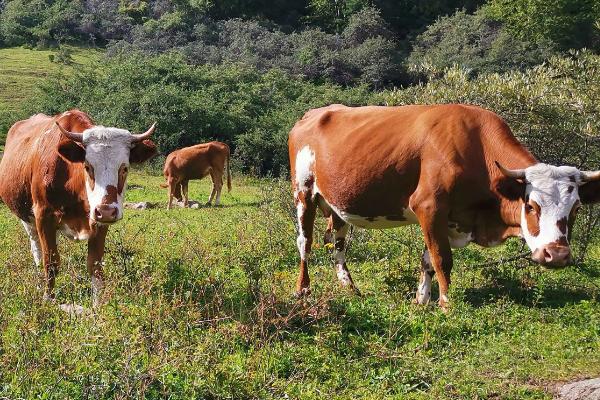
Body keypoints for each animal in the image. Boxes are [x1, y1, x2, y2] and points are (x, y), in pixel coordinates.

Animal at [0, 109, 157, 306]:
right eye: (88, 166)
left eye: (125, 168)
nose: (106, 211)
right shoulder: (43, 215)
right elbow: (51, 262)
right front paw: (48, 299)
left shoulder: (98, 221)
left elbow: (95, 265)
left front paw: (98, 305)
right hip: (26, 217)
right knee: (36, 249)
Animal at [290, 103, 600, 310]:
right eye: (532, 206)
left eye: (576, 209)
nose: (556, 255)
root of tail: (311, 114)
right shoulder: (429, 207)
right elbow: (442, 259)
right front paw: (446, 303)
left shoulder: (445, 218)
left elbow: (427, 260)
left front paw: (422, 300)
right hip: (303, 192)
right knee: (306, 242)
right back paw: (303, 289)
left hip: (337, 203)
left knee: (337, 244)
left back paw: (350, 287)